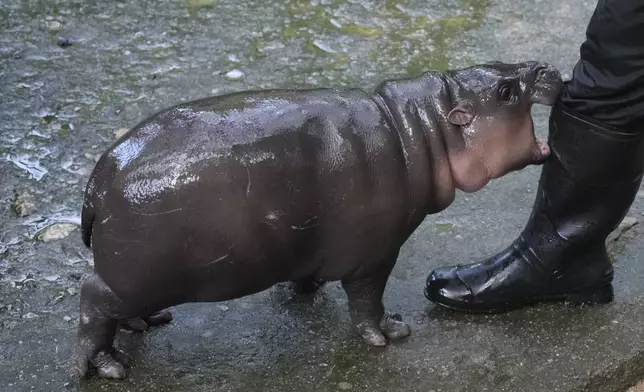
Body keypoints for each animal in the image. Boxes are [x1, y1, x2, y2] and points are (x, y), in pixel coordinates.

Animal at [73, 62, 560, 380]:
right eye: (505, 91)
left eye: (500, 68)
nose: (546, 67)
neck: (422, 129)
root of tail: (99, 180)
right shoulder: (377, 255)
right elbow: (367, 302)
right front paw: (391, 332)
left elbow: (310, 272)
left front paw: (307, 288)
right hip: (131, 276)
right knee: (92, 300)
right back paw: (108, 367)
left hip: (137, 278)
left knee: (116, 309)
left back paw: (146, 324)